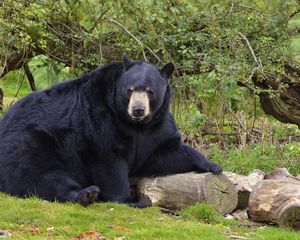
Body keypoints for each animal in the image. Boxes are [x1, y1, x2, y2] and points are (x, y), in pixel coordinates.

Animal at [0, 54, 221, 206]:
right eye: (129, 89)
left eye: (150, 91)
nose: (138, 110)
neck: (134, 124)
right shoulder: (99, 117)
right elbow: (109, 160)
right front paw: (128, 199)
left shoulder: (156, 127)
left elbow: (163, 153)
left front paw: (212, 165)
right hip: (30, 142)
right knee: (40, 174)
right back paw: (86, 194)